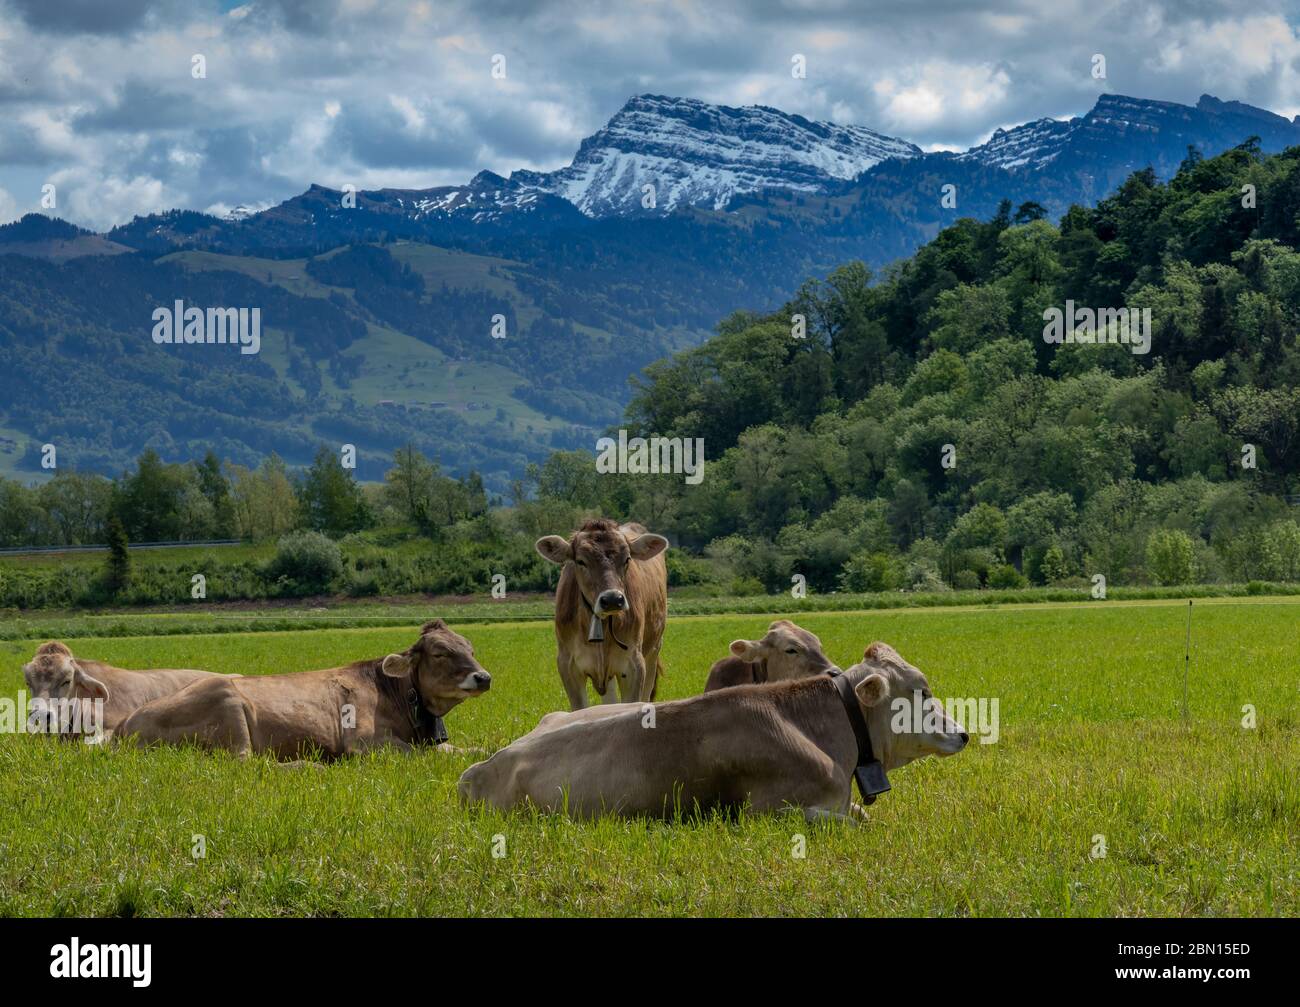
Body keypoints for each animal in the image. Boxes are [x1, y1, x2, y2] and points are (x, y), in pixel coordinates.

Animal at [116, 618, 488, 758]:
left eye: (470, 648)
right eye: (440, 652)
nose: (484, 677)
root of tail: (125, 724)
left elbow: (465, 750)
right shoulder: (362, 742)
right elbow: (425, 754)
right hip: (227, 702)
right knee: (246, 762)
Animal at [535, 519, 670, 706]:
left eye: (627, 559)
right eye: (580, 561)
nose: (612, 599)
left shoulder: (634, 665)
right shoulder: (568, 665)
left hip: (653, 651)